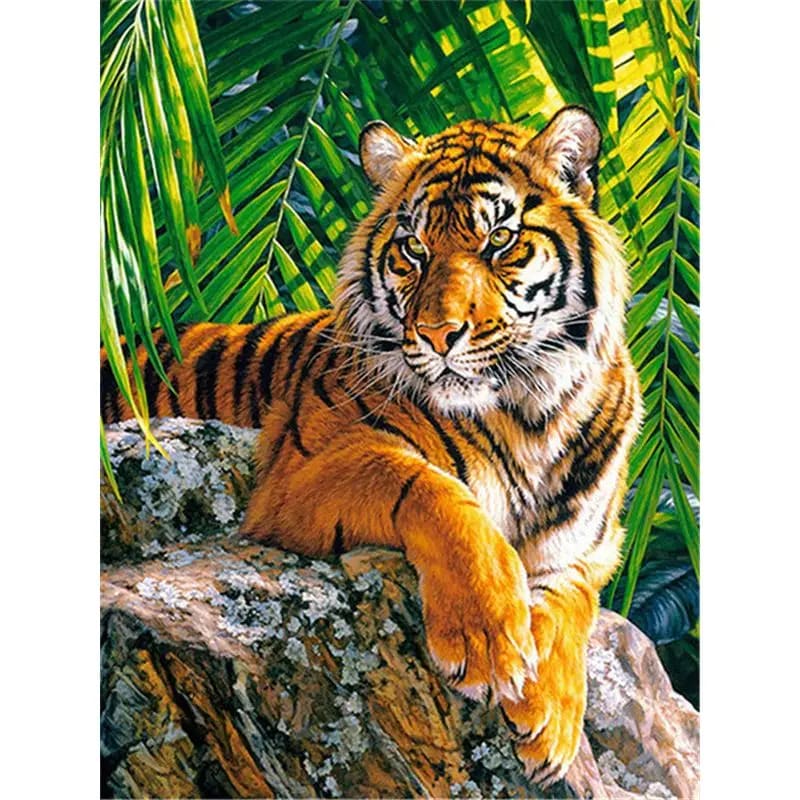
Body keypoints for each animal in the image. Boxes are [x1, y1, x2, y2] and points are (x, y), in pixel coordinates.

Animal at [101, 106, 642, 788]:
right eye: (414, 248)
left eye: (499, 241)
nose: (438, 334)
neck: (530, 412)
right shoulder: (298, 473)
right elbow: (436, 491)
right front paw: (487, 639)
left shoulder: (591, 546)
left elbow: (574, 600)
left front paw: (553, 718)